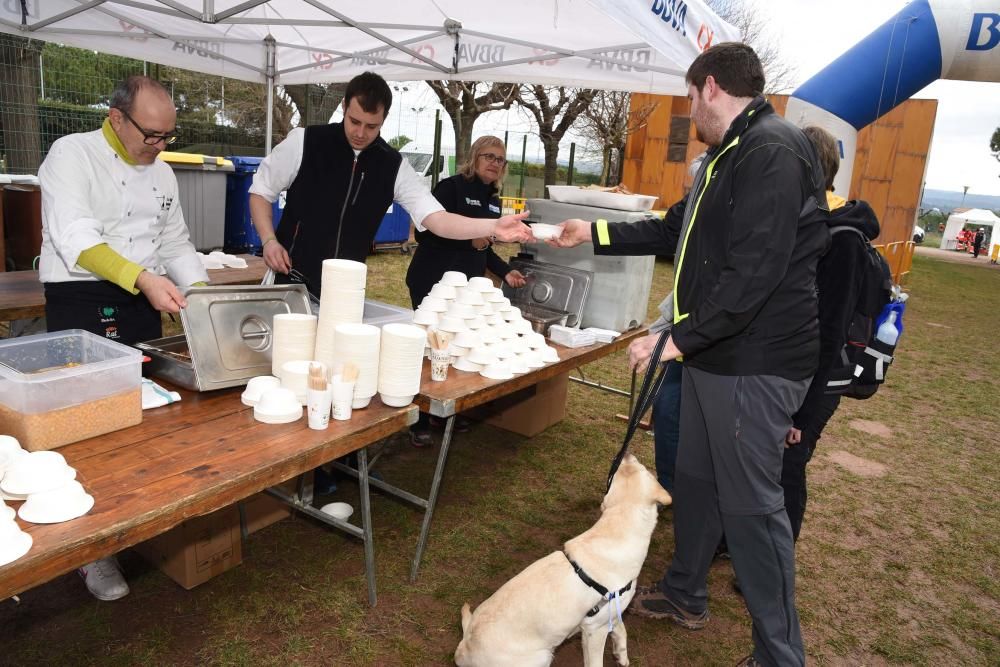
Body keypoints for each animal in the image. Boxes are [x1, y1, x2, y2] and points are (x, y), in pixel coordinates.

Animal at [454, 454, 672, 667]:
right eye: (642, 465)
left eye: (633, 464)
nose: (624, 455)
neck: (615, 529)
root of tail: (463, 649)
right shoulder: (594, 628)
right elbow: (596, 661)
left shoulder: (613, 613)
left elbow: (621, 631)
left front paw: (621, 656)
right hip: (542, 656)